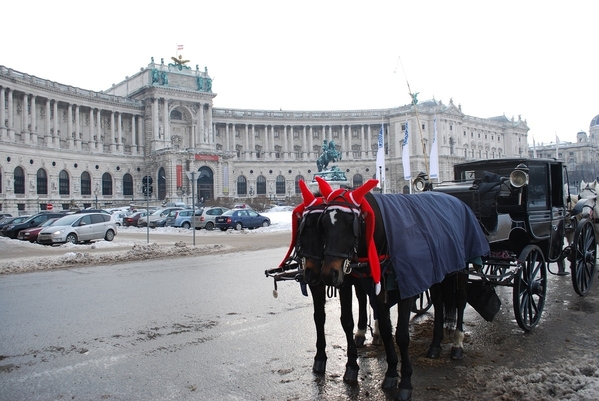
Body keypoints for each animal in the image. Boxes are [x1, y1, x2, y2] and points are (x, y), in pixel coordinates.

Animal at [300, 178, 492, 400]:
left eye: (352, 225)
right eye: (321, 225)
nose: (326, 274)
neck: (382, 238)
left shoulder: (408, 288)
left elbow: (401, 335)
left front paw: (406, 382)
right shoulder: (373, 290)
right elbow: (382, 328)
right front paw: (389, 373)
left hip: (460, 268)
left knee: (460, 300)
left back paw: (457, 344)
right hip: (438, 271)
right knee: (438, 301)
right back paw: (434, 345)